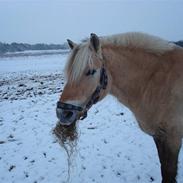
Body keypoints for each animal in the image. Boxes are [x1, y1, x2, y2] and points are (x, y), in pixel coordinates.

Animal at [56, 32, 183, 182]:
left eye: (91, 71)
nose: (62, 113)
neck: (156, 82)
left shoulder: (173, 139)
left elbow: (169, 172)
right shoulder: (159, 137)